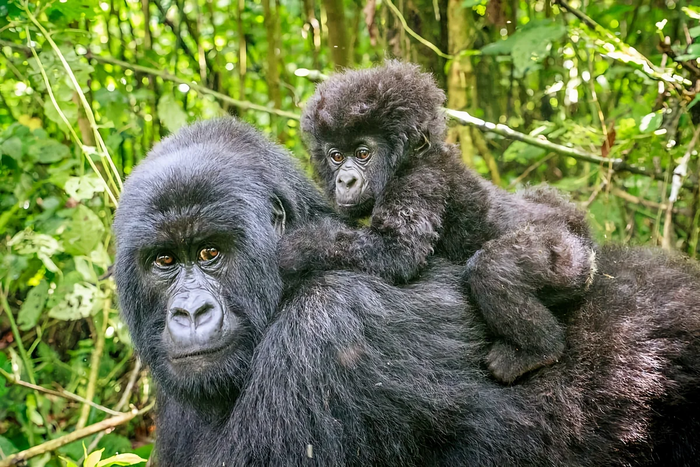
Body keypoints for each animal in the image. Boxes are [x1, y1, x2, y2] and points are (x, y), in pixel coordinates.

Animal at [284, 62, 596, 384]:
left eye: (362, 154)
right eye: (335, 156)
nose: (345, 180)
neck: (410, 158)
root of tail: (578, 228)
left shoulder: (419, 179)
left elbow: (398, 252)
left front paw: (300, 246)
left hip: (570, 257)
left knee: (492, 268)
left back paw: (538, 351)